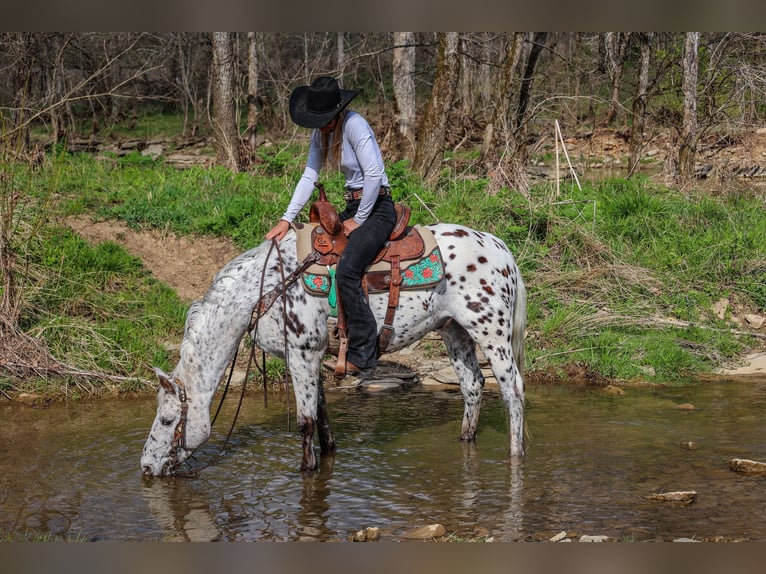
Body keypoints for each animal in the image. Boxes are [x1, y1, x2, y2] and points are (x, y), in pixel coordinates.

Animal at [141, 224, 528, 476]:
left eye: (168, 419)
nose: (146, 466)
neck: (265, 292)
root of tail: (501, 249)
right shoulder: (311, 359)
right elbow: (322, 414)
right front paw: (327, 455)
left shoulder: (301, 355)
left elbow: (306, 421)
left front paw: (306, 469)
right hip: (455, 331)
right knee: (472, 386)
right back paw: (467, 440)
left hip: (492, 333)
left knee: (512, 390)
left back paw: (516, 454)